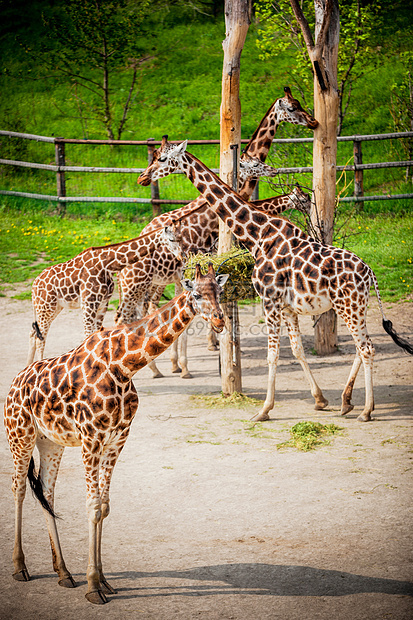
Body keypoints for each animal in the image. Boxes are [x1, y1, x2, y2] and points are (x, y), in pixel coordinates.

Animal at [4, 262, 229, 604]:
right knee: (17, 488)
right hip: (20, 435)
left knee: (46, 492)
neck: (124, 365)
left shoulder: (117, 440)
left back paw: (63, 573)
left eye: (220, 291)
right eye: (196, 294)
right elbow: (93, 506)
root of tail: (14, 385)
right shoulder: (91, 439)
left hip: (51, 443)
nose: (219, 320)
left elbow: (104, 507)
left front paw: (103, 581)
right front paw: (93, 587)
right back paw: (20, 567)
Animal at [25, 222, 180, 364]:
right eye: (171, 239)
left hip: (52, 308)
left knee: (33, 333)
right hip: (46, 308)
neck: (107, 264)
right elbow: (88, 335)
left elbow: (96, 334)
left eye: (178, 238)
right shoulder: (89, 303)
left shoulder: (102, 304)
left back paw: (28, 367)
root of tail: (33, 286)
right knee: (40, 338)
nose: (180, 256)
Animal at [114, 86, 318, 378]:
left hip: (151, 283)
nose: (313, 122)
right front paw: (196, 363)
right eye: (292, 108)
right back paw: (154, 367)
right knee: (128, 314)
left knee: (141, 310)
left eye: (299, 104)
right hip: (140, 283)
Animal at [136, 138, 412, 424]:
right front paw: (320, 400)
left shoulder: (269, 299)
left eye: (162, 159)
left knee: (366, 348)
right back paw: (346, 402)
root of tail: (370, 273)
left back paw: (367, 410)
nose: (142, 177)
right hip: (353, 306)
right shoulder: (287, 307)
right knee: (361, 347)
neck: (257, 235)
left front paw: (264, 410)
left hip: (349, 305)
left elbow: (272, 355)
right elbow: (297, 350)